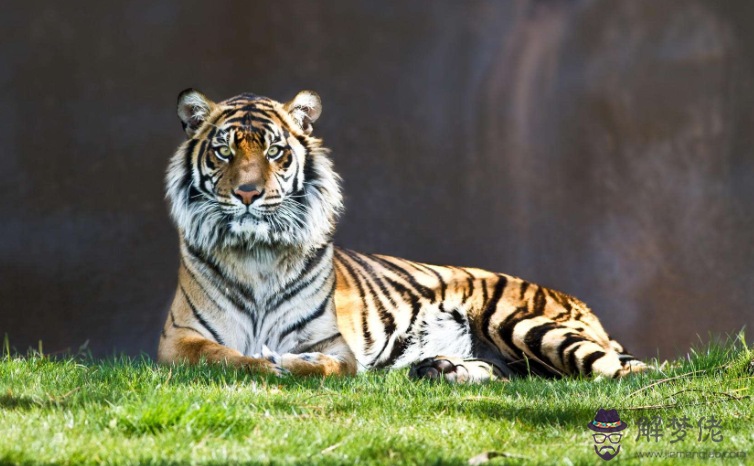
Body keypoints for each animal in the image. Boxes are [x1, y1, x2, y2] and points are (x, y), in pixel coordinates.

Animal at [154, 88, 648, 382]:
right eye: (224, 151)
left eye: (275, 151)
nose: (247, 193)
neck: (257, 255)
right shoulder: (178, 340)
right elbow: (224, 357)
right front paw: (265, 362)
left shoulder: (334, 344)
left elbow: (326, 366)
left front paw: (290, 363)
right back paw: (441, 368)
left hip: (524, 323)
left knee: (623, 372)